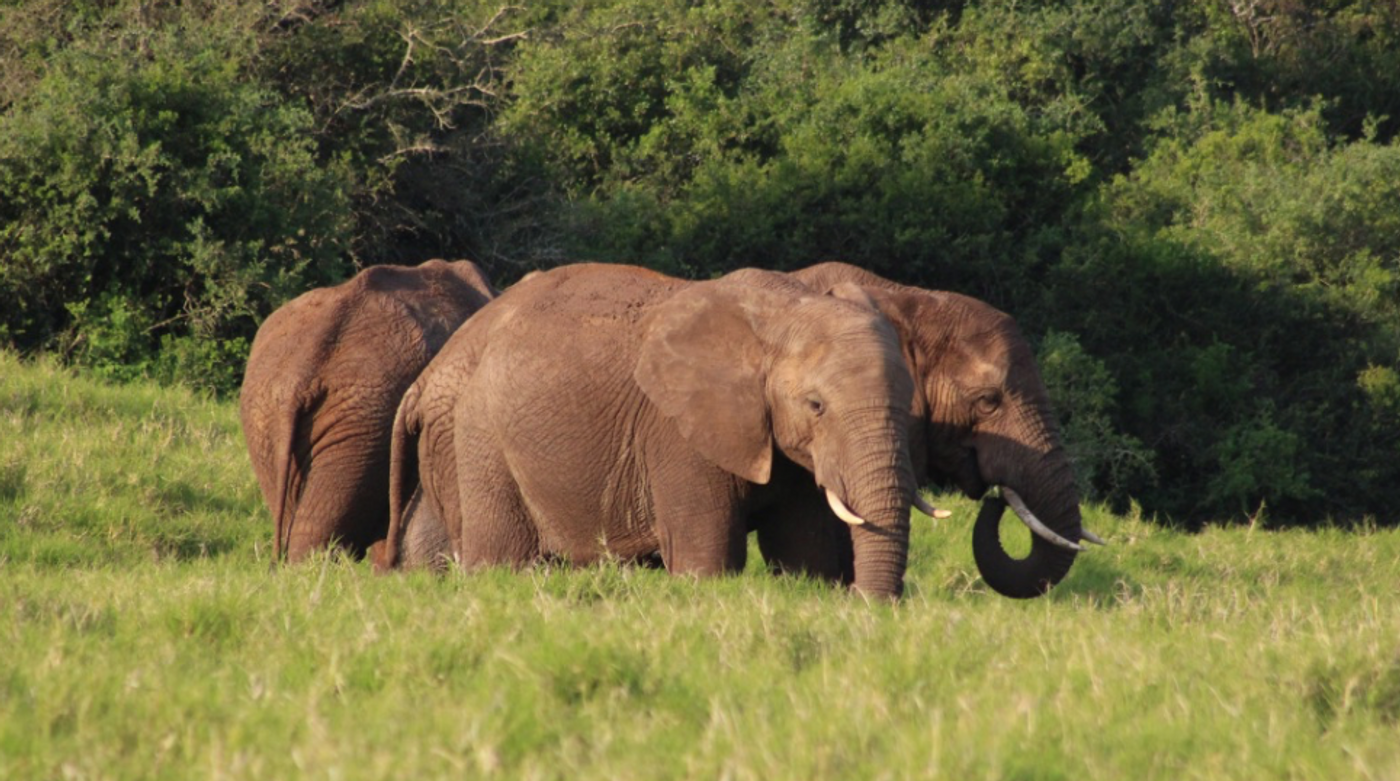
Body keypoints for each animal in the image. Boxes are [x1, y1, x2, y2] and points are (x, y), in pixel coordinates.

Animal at [378, 263, 924, 599]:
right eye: (816, 406)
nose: (868, 603)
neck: (783, 310)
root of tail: (430, 376)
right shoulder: (678, 432)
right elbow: (706, 558)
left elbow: (803, 552)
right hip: (480, 434)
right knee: (502, 559)